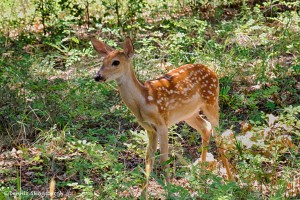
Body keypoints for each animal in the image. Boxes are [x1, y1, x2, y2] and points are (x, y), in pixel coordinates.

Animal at [91, 37, 234, 194]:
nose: (97, 76)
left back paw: (230, 181)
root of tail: (212, 71)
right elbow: (148, 160)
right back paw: (202, 180)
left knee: (218, 137)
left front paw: (170, 192)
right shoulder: (149, 128)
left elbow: (164, 160)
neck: (143, 101)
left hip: (211, 101)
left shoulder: (162, 125)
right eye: (102, 61)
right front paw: (143, 194)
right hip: (188, 114)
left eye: (116, 62)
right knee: (205, 127)